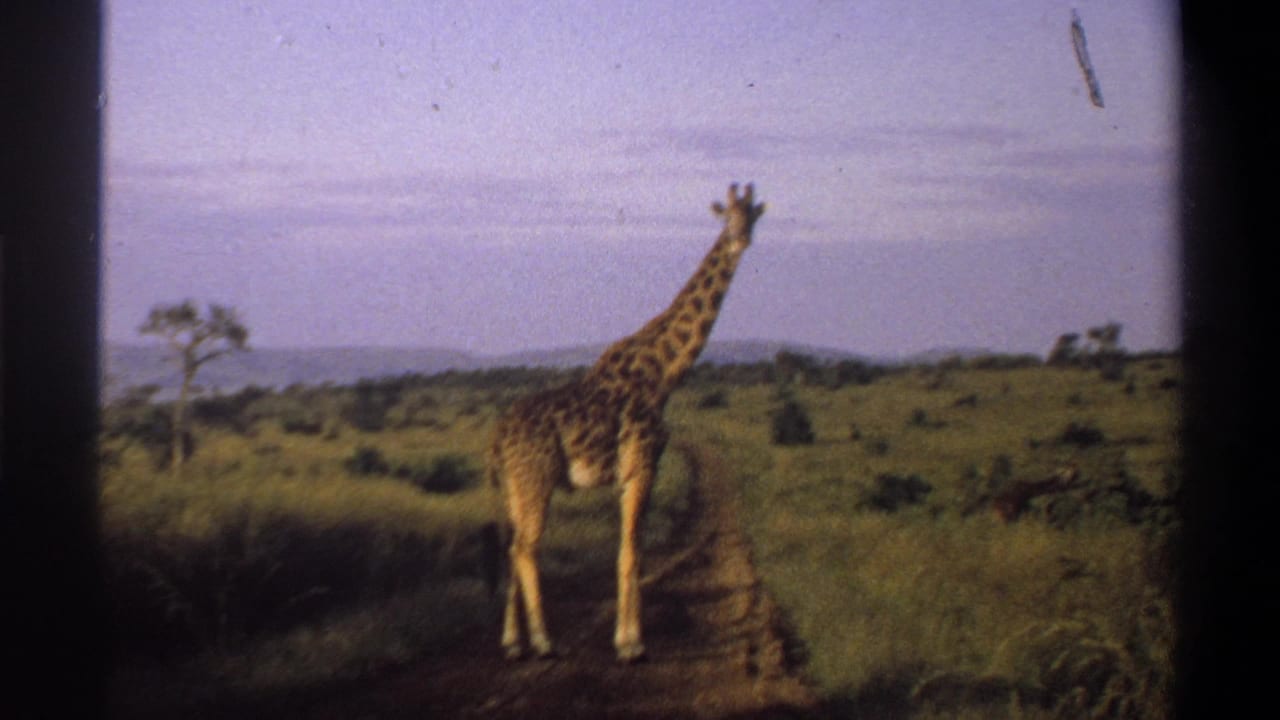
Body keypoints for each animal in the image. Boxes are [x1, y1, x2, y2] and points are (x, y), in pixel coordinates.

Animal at [487, 183, 765, 663]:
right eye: (726, 217)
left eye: (751, 217)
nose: (740, 240)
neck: (663, 373)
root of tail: (498, 437)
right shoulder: (641, 464)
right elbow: (631, 552)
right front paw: (631, 643)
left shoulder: (631, 472)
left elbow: (631, 550)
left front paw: (628, 637)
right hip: (536, 479)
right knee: (525, 547)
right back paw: (543, 641)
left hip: (514, 486)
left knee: (511, 546)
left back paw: (512, 643)